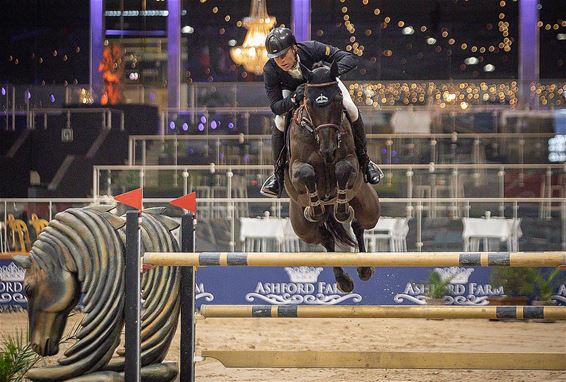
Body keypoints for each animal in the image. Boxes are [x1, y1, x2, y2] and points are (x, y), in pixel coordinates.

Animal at [284, 60, 382, 292]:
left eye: (338, 100)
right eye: (309, 103)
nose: (328, 151)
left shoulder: (350, 161)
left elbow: (342, 169)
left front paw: (342, 210)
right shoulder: (295, 169)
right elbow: (306, 172)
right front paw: (316, 207)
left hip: (369, 208)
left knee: (359, 224)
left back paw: (364, 267)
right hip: (303, 228)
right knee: (326, 238)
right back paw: (343, 280)